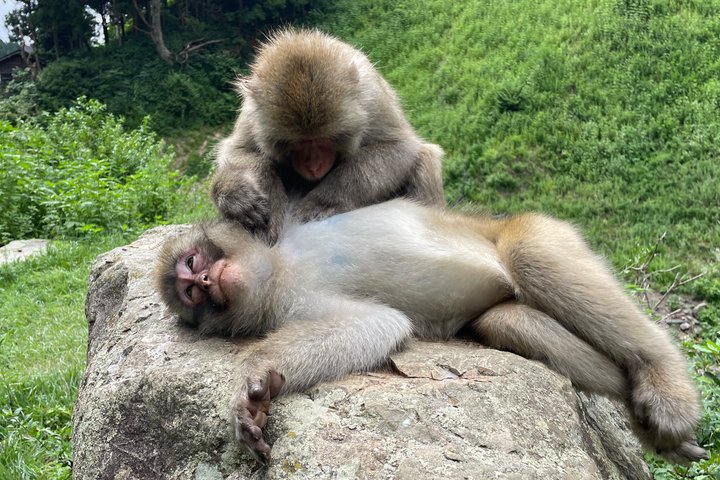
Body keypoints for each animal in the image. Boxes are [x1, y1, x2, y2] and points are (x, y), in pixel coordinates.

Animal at [155, 200, 708, 464]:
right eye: (190, 294)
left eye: (194, 264)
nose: (206, 282)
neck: (279, 269)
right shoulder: (291, 302)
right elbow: (377, 323)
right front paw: (258, 386)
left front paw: (250, 377)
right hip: (505, 303)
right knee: (505, 320)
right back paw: (651, 427)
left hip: (540, 229)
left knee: (530, 254)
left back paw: (664, 384)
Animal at [211, 29, 445, 244]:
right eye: (297, 143)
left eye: (323, 140)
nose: (313, 165)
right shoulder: (252, 112)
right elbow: (238, 151)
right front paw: (247, 197)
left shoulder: (371, 97)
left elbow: (399, 147)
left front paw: (323, 202)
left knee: (424, 157)